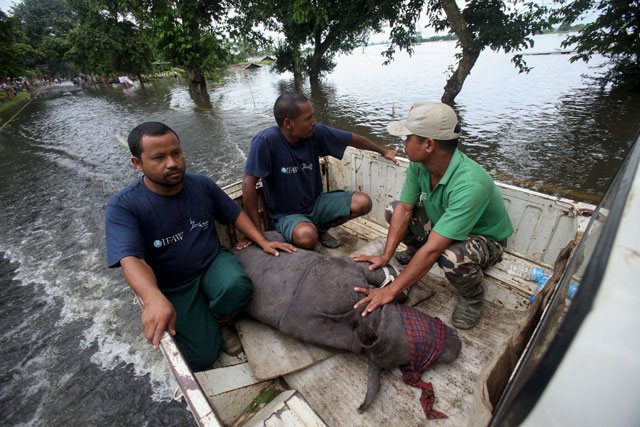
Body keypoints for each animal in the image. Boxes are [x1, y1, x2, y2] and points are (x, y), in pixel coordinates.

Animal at [232, 232, 462, 416]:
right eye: (420, 354)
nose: (457, 345)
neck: (366, 319)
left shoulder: (348, 272)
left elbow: (376, 275)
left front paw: (397, 281)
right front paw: (398, 284)